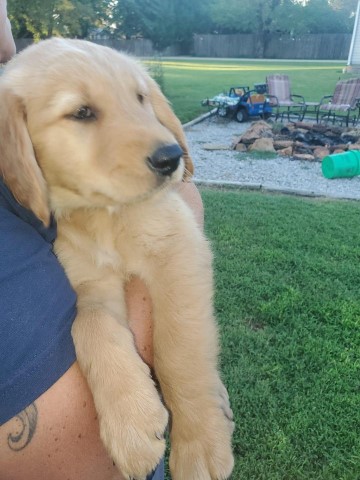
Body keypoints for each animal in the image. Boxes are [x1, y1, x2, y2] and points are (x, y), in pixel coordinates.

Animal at [0, 38, 233, 480]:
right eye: (81, 113)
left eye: (140, 98)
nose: (171, 157)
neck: (103, 216)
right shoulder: (92, 284)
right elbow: (87, 323)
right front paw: (132, 423)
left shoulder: (179, 248)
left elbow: (178, 349)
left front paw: (199, 442)